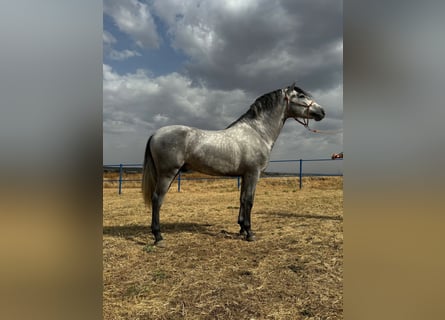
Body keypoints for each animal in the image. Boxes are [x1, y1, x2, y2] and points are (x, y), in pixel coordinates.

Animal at [144, 82, 324, 245]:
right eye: (301, 96)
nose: (322, 112)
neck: (257, 133)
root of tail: (155, 134)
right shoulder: (253, 173)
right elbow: (250, 200)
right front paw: (250, 233)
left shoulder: (245, 175)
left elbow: (242, 199)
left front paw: (242, 228)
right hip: (167, 174)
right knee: (157, 199)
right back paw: (158, 237)